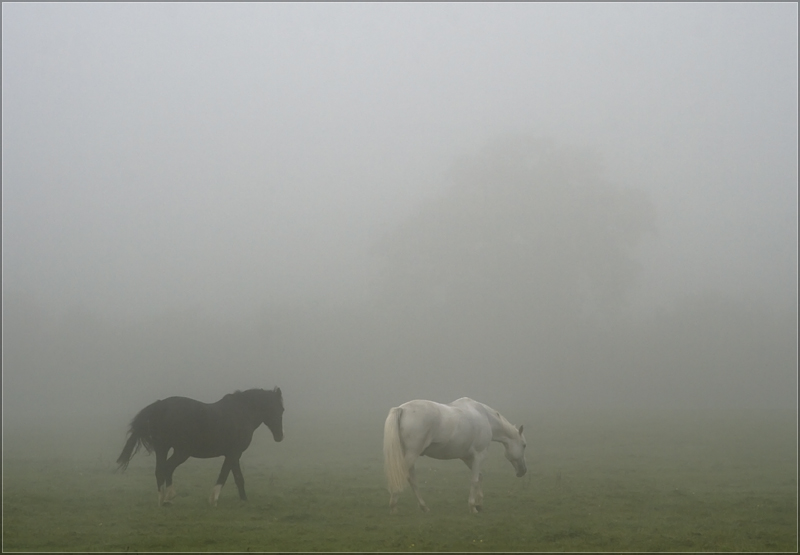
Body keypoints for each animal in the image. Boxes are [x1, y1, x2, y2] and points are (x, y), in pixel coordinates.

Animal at [115, 388, 282, 506]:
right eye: (280, 409)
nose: (280, 436)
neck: (242, 412)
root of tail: (159, 406)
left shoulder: (233, 454)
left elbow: (237, 477)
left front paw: (243, 499)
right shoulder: (233, 453)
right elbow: (226, 475)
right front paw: (214, 499)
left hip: (162, 448)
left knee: (160, 471)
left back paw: (162, 499)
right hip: (182, 452)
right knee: (167, 468)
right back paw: (169, 497)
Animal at [384, 398, 528, 516]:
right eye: (524, 445)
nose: (523, 471)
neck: (486, 418)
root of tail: (402, 409)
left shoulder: (467, 458)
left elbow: (480, 477)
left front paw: (479, 504)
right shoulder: (479, 455)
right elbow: (475, 479)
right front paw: (473, 506)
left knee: (412, 479)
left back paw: (424, 507)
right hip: (412, 455)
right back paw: (393, 506)